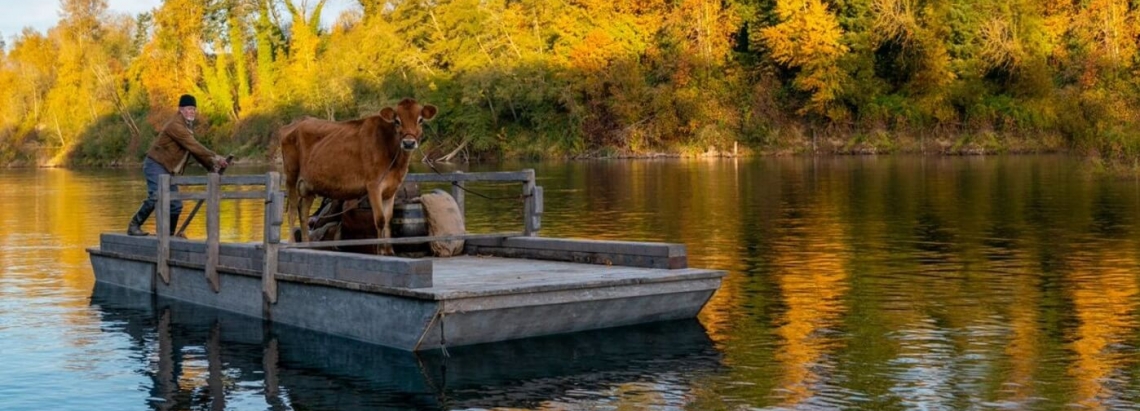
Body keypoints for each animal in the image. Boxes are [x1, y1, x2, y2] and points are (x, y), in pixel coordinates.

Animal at [279, 97, 435, 255]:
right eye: (397, 121)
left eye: (420, 120)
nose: (409, 143)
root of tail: (298, 122)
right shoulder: (373, 186)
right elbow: (380, 220)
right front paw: (380, 250)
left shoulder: (391, 189)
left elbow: (388, 220)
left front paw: (389, 250)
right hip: (291, 176)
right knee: (292, 209)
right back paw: (292, 243)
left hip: (310, 185)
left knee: (303, 211)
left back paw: (307, 245)